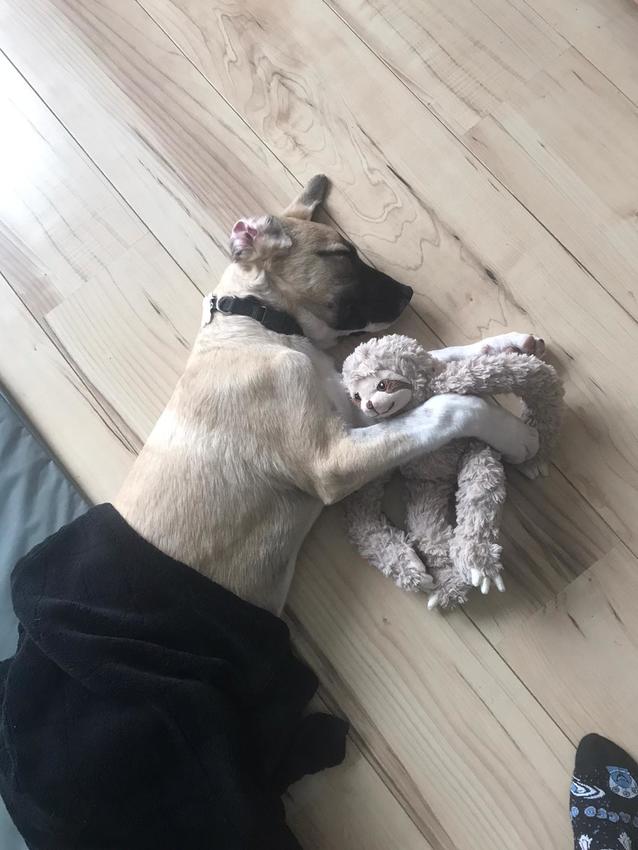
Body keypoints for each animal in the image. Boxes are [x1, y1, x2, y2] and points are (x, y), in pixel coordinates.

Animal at [114, 175, 540, 614]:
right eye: (341, 255)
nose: (408, 292)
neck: (258, 325)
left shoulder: (353, 405)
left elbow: (438, 358)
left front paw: (506, 346)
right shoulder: (331, 459)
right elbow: (446, 408)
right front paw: (514, 434)